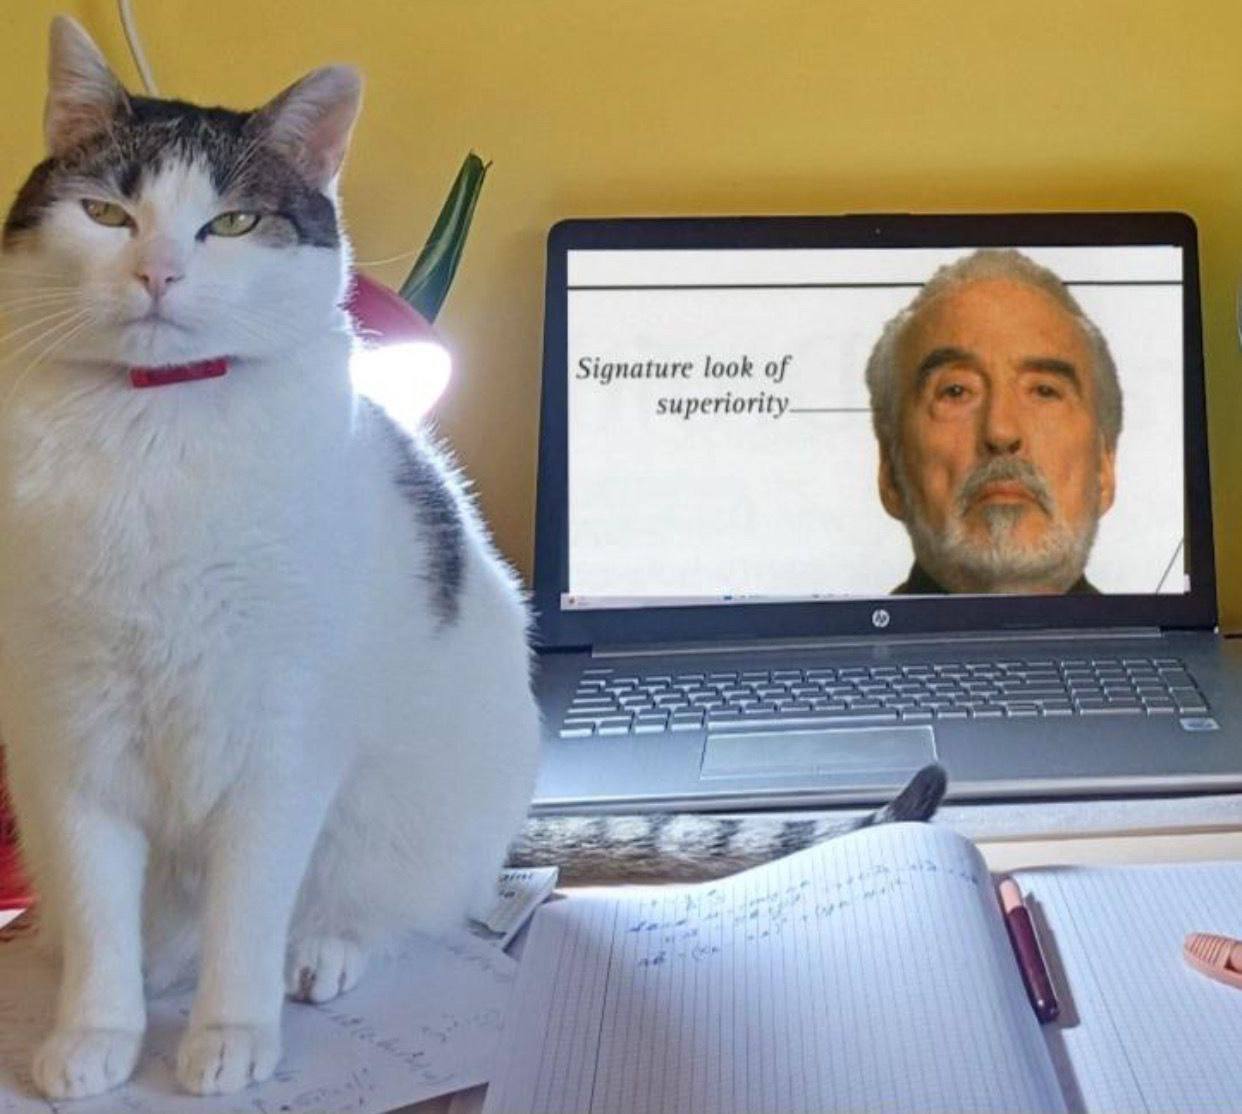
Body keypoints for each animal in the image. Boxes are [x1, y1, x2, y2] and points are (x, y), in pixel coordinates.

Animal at [0, 16, 540, 1100]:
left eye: (234, 224)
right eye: (106, 213)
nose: (158, 272)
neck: (155, 432)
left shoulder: (279, 744)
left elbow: (246, 910)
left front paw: (230, 1033)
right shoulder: (71, 741)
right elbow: (98, 912)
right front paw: (96, 1033)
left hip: (409, 806)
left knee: (383, 904)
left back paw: (321, 949)